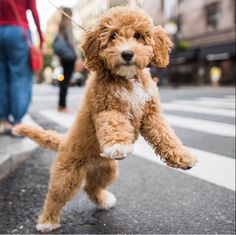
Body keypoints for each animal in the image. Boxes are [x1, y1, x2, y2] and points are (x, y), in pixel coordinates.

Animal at [13, 6, 197, 232]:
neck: (128, 78)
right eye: (113, 36)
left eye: (138, 36)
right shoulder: (106, 108)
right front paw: (117, 145)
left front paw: (183, 158)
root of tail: (63, 141)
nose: (127, 54)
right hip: (67, 174)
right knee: (56, 196)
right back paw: (47, 221)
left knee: (92, 188)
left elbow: (166, 136)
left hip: (107, 170)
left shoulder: (151, 114)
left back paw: (103, 200)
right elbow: (114, 124)